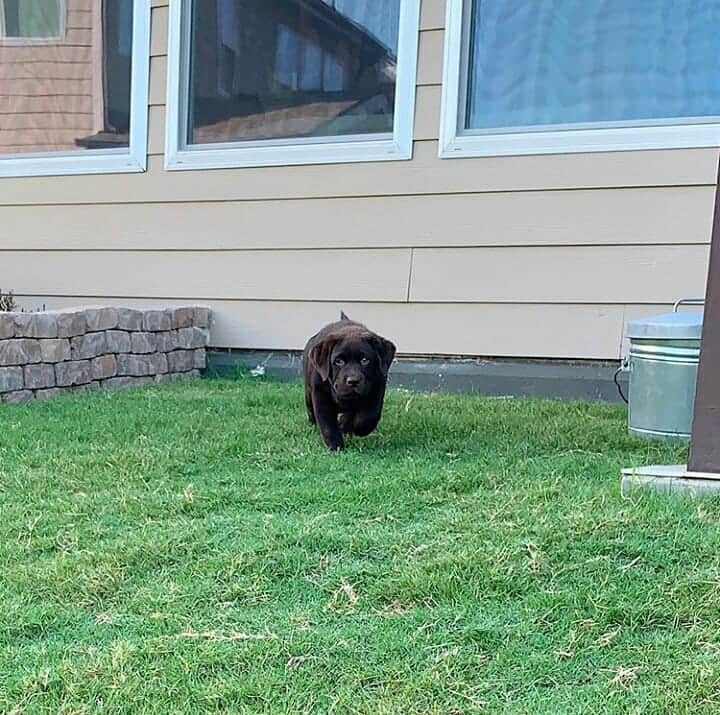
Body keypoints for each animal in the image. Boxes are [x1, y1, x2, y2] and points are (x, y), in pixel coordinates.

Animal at [302, 314, 396, 454]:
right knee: (311, 410)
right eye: (338, 361)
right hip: (308, 393)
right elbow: (327, 424)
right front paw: (336, 446)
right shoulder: (320, 393)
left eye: (365, 360)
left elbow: (369, 415)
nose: (353, 381)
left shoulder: (377, 387)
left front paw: (359, 429)